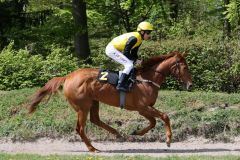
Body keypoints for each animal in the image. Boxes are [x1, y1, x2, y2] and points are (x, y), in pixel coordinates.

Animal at [26, 50, 191, 152]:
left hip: (93, 102)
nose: (190, 85)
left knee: (95, 120)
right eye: (184, 67)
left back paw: (116, 133)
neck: (147, 80)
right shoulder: (143, 107)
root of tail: (68, 76)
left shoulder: (143, 109)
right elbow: (164, 116)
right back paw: (93, 149)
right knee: (80, 128)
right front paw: (168, 139)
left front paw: (136, 132)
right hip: (82, 107)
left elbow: (153, 122)